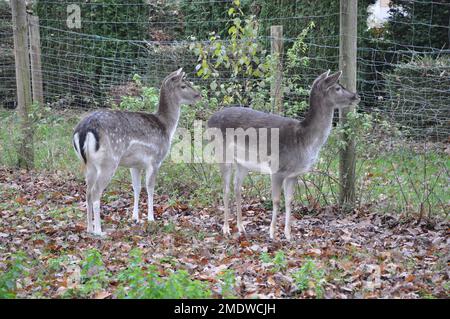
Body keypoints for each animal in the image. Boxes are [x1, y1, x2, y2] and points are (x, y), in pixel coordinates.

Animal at [73, 69, 200, 236]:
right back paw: (99, 231)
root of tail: (83, 130)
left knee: (87, 191)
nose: (198, 95)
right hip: (109, 161)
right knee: (95, 192)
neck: (166, 127)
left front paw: (135, 218)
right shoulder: (155, 160)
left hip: (89, 164)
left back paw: (88, 228)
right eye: (183, 85)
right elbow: (150, 188)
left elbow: (137, 188)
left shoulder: (135, 165)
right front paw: (151, 218)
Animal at [207, 69, 358, 240]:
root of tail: (208, 121)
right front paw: (272, 233)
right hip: (221, 154)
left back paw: (241, 227)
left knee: (237, 187)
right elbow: (276, 200)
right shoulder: (277, 169)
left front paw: (288, 234)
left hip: (243, 163)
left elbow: (289, 201)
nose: (356, 96)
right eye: (338, 87)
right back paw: (226, 228)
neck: (303, 140)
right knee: (225, 188)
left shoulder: (293, 173)